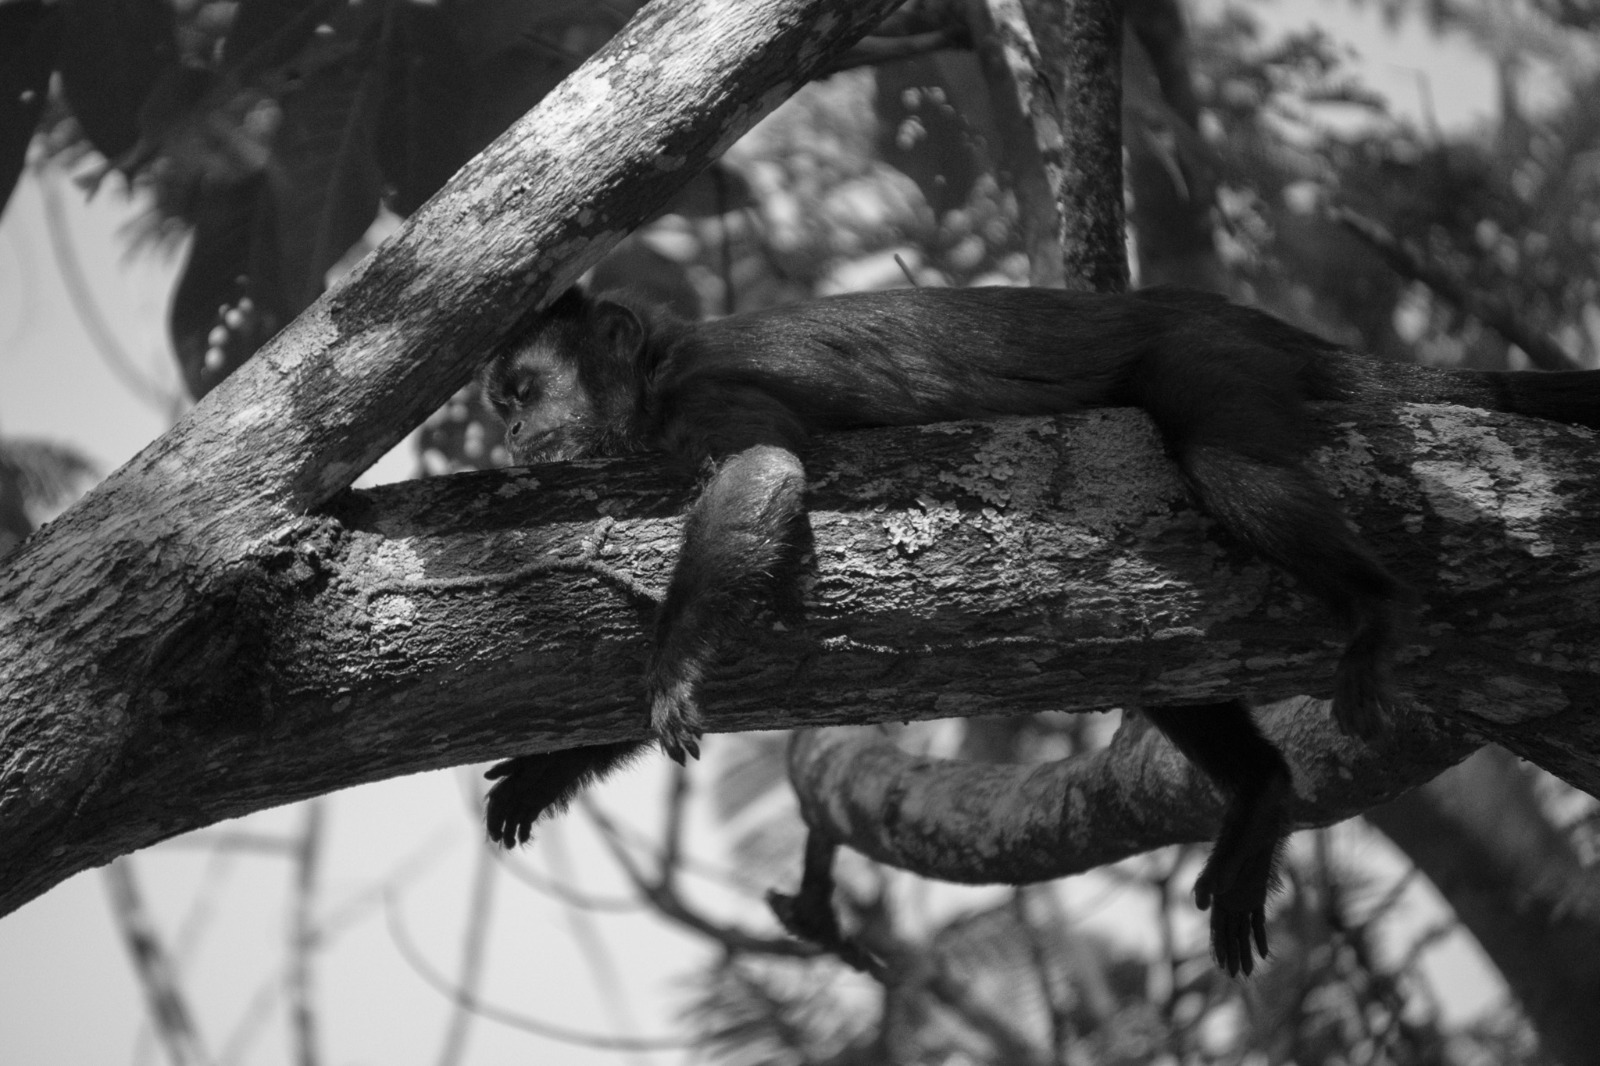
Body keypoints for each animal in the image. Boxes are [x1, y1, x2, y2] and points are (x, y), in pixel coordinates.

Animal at [477, 283, 1600, 976]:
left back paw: (1373, 609)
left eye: (522, 391)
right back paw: (1261, 792)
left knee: (1225, 458)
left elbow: (763, 474)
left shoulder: (706, 393)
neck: (659, 369)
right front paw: (546, 772)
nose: (517, 433)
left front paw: (672, 668)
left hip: (1209, 353)